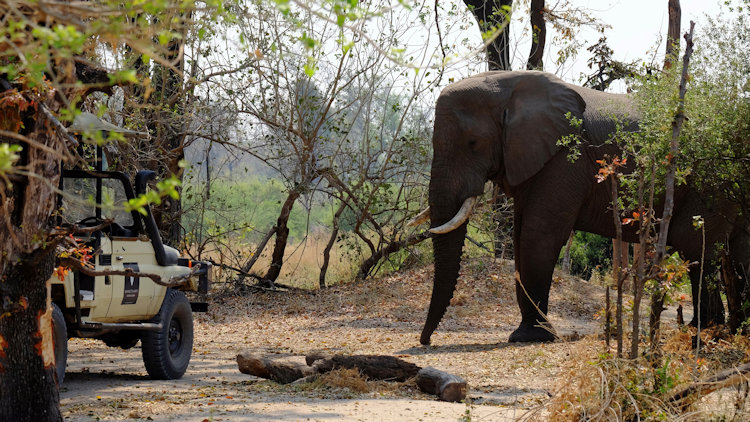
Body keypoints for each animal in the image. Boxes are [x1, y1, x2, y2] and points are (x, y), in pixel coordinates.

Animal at [418, 71, 748, 344]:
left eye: (473, 143)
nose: (425, 341)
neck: (510, 85)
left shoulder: (565, 158)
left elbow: (538, 234)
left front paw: (530, 337)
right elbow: (522, 233)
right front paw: (528, 334)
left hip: (709, 183)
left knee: (695, 245)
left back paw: (704, 331)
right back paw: (730, 330)